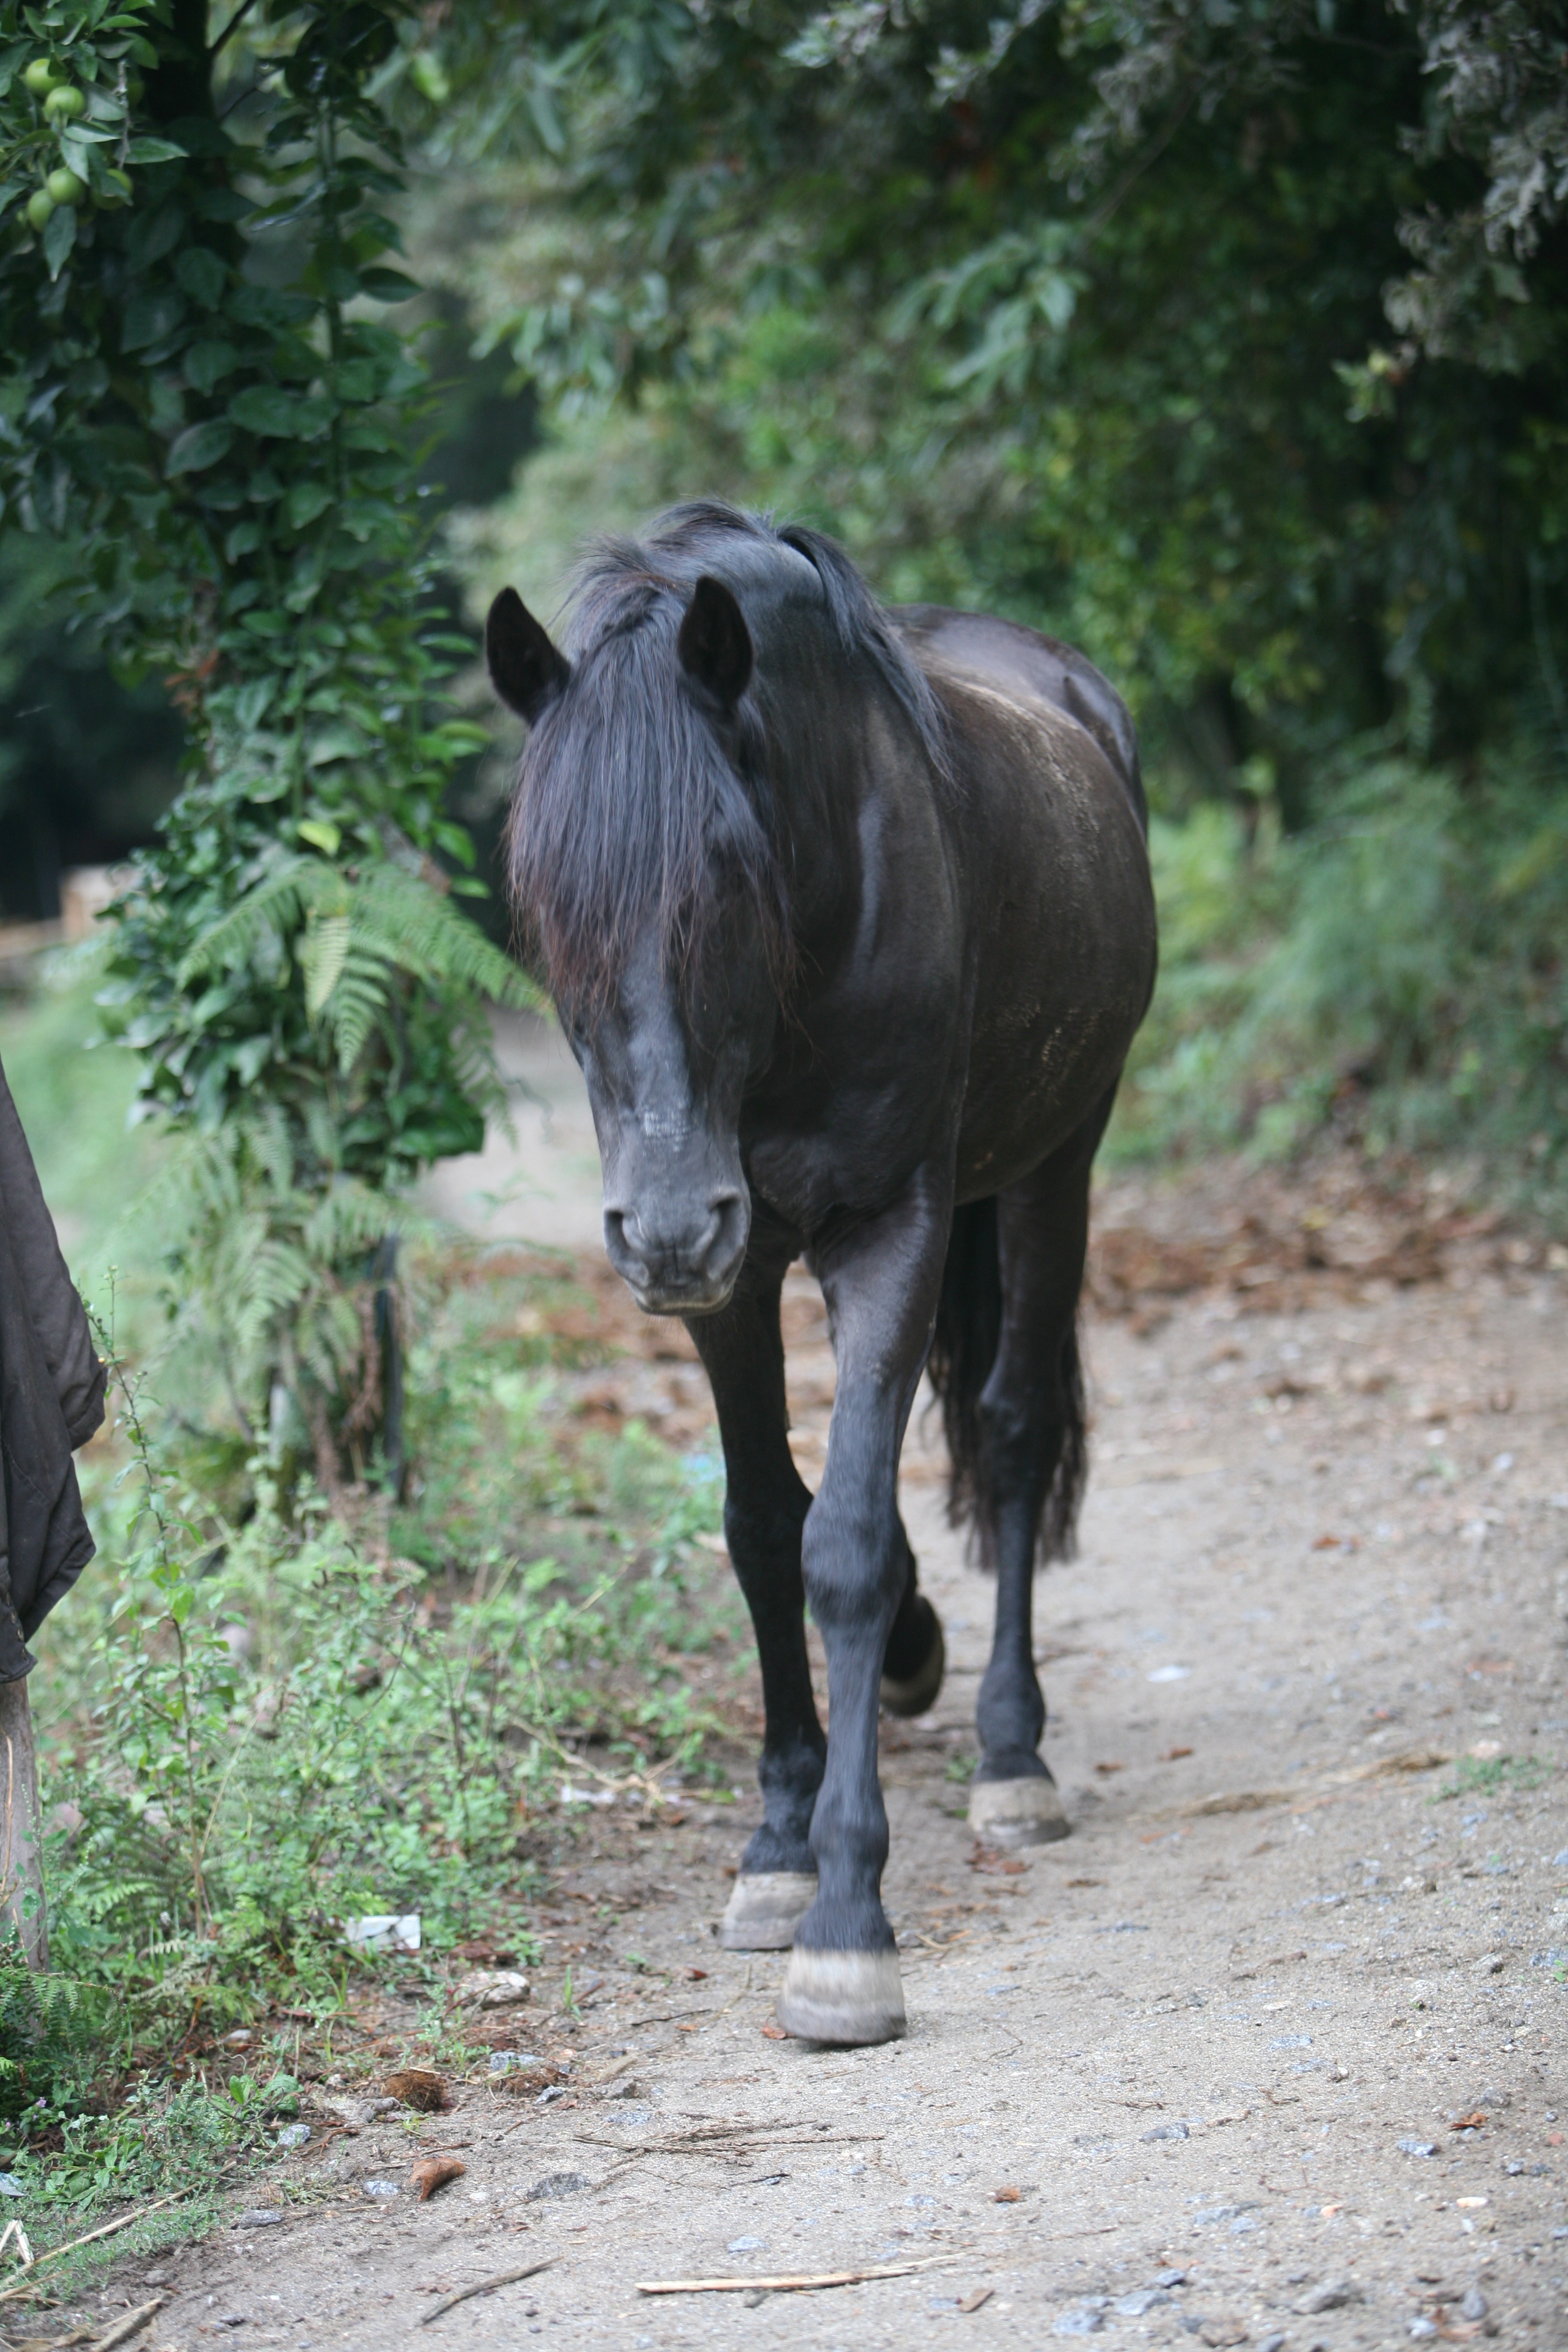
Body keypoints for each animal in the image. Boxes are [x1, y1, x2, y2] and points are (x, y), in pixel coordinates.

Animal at [484, 510, 1161, 2041]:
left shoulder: (886, 1229)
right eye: (545, 906)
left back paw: (1011, 1760)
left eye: (726, 878)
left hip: (1054, 1164)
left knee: (1016, 1433)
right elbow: (759, 1528)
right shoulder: (731, 1285)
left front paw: (848, 1922)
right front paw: (778, 1850)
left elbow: (841, 1546)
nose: (666, 1224)